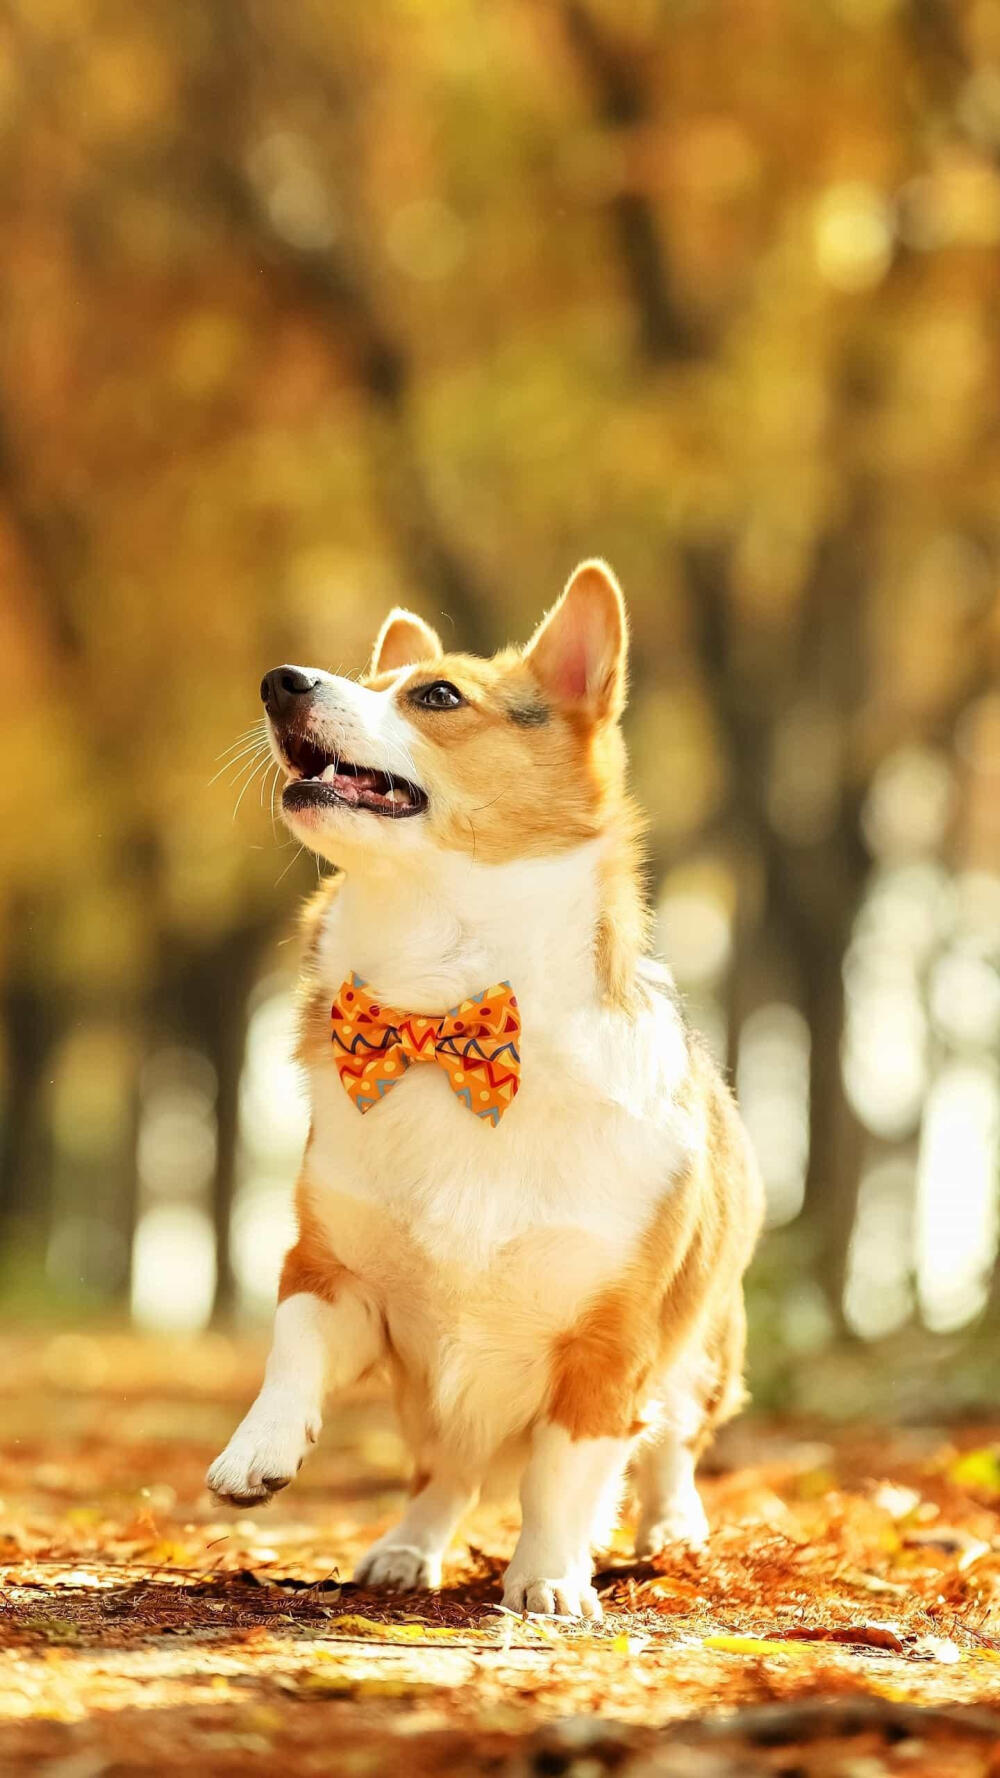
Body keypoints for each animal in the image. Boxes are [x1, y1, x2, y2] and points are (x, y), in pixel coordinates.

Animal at [206, 561, 758, 1621]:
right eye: (379, 680)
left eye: (435, 697)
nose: (278, 680)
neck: (440, 1015)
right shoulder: (336, 1276)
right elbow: (291, 1353)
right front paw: (257, 1451)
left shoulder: (609, 1343)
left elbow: (565, 1473)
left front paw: (549, 1579)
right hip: (432, 1398)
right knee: (445, 1472)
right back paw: (405, 1549)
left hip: (703, 1347)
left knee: (668, 1442)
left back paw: (670, 1529)